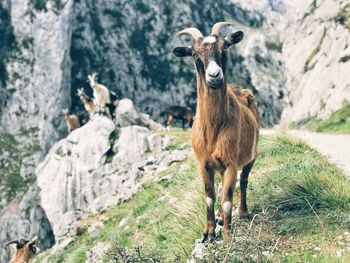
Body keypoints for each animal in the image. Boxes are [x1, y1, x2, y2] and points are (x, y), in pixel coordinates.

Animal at [173, 22, 260, 243]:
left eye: (225, 48)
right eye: (194, 54)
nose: (214, 75)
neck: (213, 130)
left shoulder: (230, 162)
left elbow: (228, 198)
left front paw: (228, 233)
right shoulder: (204, 164)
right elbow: (210, 198)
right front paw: (208, 232)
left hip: (251, 155)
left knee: (243, 181)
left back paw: (242, 213)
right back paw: (220, 217)